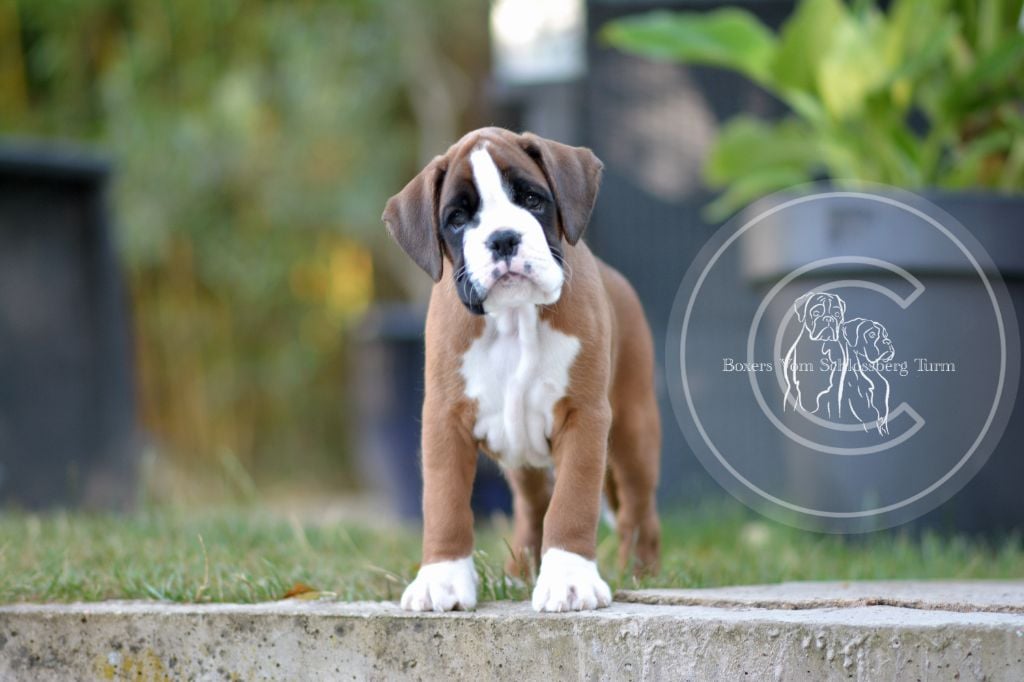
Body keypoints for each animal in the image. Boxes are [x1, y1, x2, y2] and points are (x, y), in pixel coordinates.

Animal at [380, 125, 659, 610]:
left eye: (531, 199)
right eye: (458, 219)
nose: (503, 238)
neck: (513, 319)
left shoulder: (585, 416)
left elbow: (573, 501)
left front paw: (569, 578)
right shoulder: (444, 421)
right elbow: (444, 501)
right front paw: (442, 578)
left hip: (633, 436)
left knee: (639, 511)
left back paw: (642, 573)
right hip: (522, 456)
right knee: (533, 504)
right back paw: (520, 573)